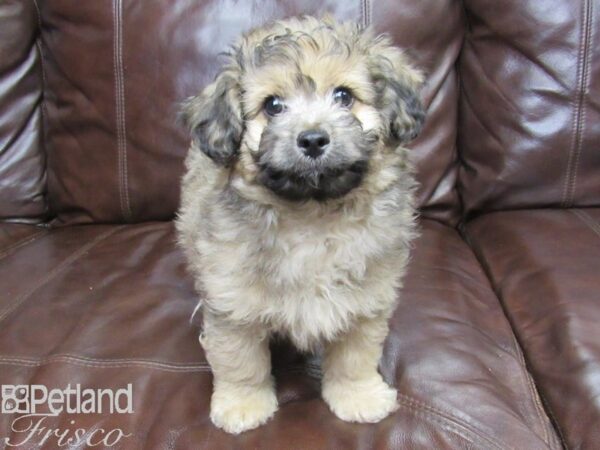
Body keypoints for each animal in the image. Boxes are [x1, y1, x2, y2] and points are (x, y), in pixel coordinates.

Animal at [176, 15, 424, 434]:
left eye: (344, 96)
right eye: (273, 106)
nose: (312, 139)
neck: (312, 215)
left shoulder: (367, 297)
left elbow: (356, 355)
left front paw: (358, 396)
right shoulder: (232, 301)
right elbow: (239, 359)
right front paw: (243, 404)